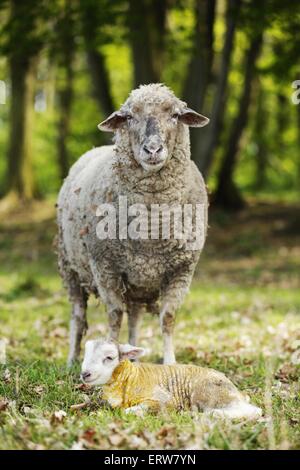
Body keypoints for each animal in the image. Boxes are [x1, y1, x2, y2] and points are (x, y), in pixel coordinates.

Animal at [57, 83, 210, 368]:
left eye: (175, 115)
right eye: (128, 117)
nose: (152, 149)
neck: (150, 226)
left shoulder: (181, 269)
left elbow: (167, 318)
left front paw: (170, 363)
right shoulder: (105, 267)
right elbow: (115, 316)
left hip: (137, 282)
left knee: (135, 317)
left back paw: (134, 355)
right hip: (69, 266)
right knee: (78, 314)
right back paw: (72, 359)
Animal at [81, 340, 262, 420]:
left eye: (109, 358)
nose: (84, 374)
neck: (130, 377)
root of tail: (235, 389)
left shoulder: (165, 399)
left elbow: (130, 411)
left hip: (208, 392)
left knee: (253, 411)